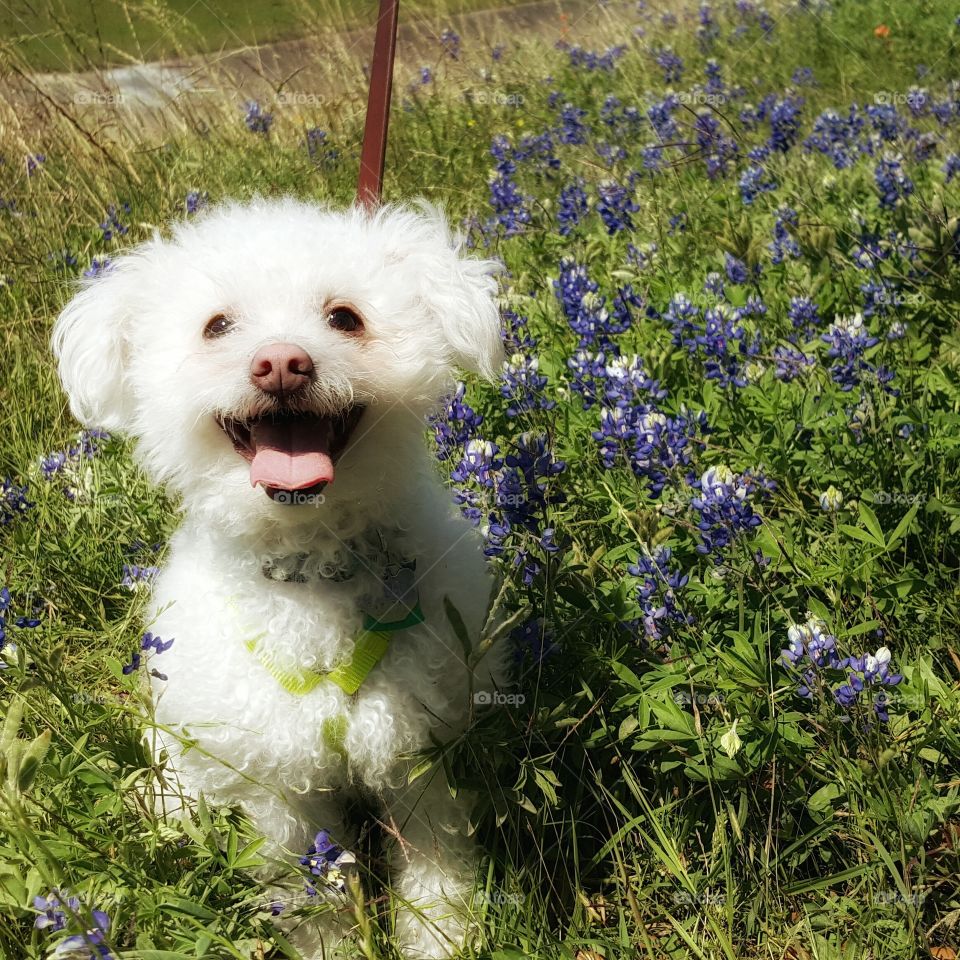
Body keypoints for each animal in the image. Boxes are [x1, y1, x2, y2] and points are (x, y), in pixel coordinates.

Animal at [51, 199, 506, 956]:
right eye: (217, 325)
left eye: (345, 317)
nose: (283, 364)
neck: (309, 569)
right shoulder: (275, 790)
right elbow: (307, 896)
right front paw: (332, 946)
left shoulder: (418, 748)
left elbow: (435, 868)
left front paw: (441, 939)